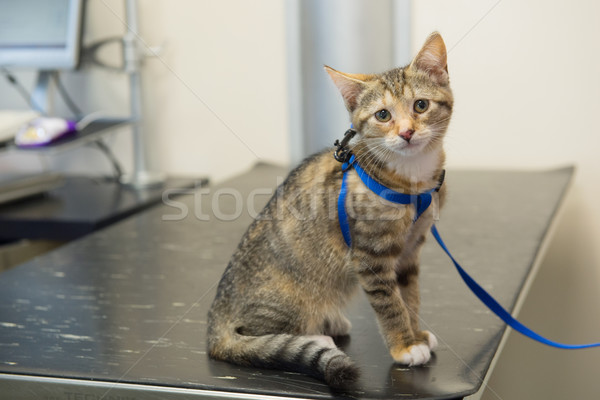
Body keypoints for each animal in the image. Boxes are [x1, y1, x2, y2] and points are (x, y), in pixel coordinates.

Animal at [209, 32, 452, 390]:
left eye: (421, 105)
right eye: (382, 115)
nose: (407, 132)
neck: (413, 178)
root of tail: (215, 320)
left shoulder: (409, 252)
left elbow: (410, 296)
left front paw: (415, 333)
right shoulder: (370, 256)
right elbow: (390, 302)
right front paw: (405, 345)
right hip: (286, 297)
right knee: (255, 334)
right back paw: (314, 338)